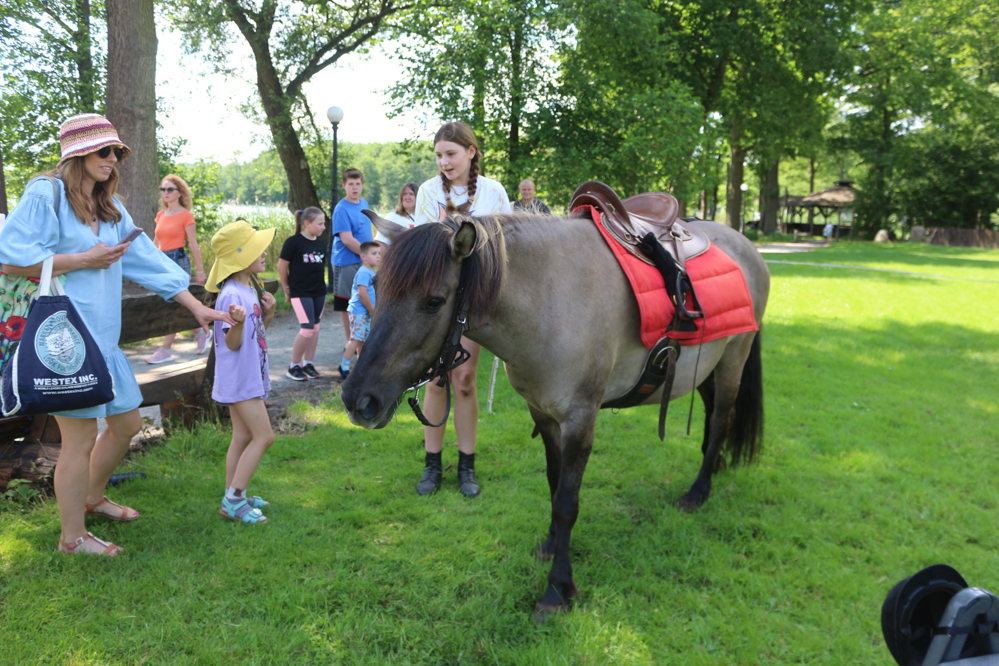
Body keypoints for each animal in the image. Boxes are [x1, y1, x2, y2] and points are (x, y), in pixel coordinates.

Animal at [340, 208, 768, 616]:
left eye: (433, 301)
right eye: (377, 288)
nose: (358, 400)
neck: (551, 300)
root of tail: (748, 247)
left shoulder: (581, 420)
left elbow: (566, 503)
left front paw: (558, 589)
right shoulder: (543, 414)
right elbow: (553, 482)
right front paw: (550, 545)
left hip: (733, 359)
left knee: (721, 420)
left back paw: (698, 491)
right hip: (708, 367)